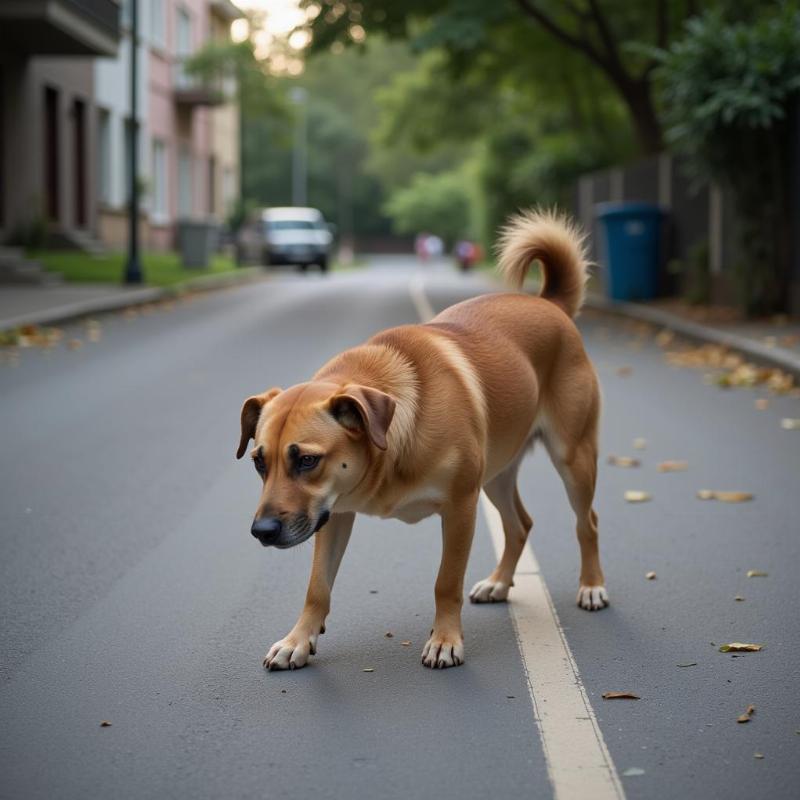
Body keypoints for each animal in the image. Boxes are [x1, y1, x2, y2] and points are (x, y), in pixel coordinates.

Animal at [238, 211, 608, 668]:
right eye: (259, 461)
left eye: (306, 460)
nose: (262, 531)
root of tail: (548, 304)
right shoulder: (333, 516)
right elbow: (317, 587)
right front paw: (298, 640)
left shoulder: (461, 507)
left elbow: (445, 582)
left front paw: (446, 639)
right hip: (496, 476)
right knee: (520, 524)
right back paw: (500, 582)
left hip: (572, 459)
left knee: (587, 522)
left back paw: (591, 585)